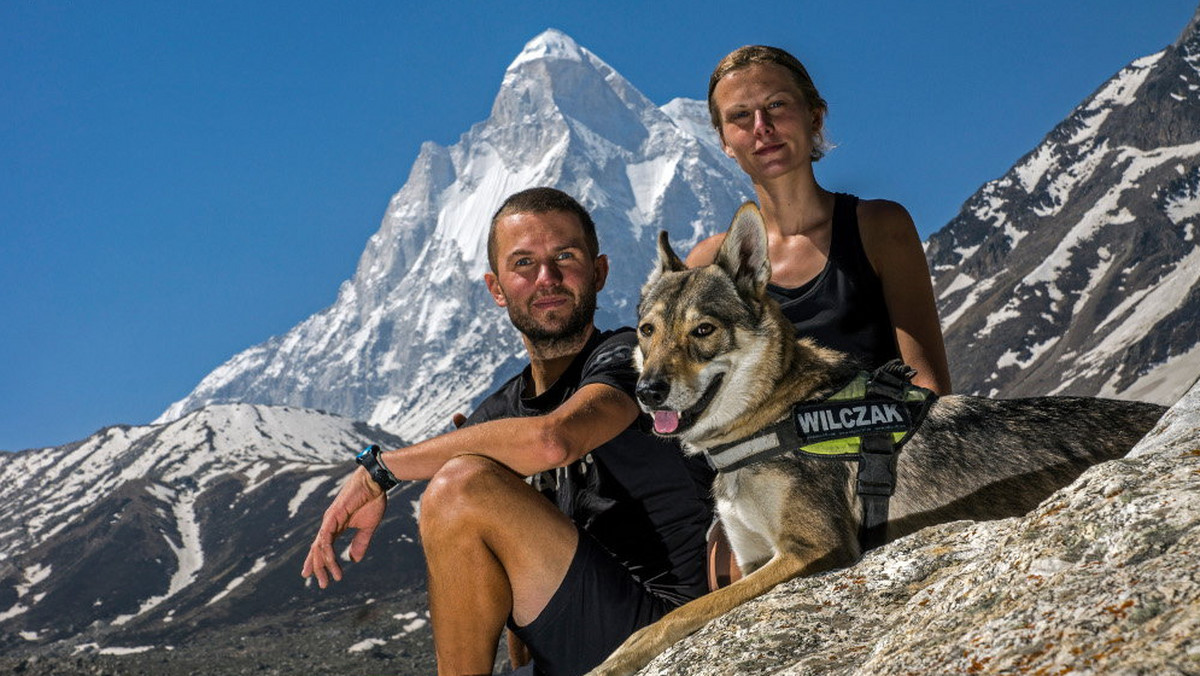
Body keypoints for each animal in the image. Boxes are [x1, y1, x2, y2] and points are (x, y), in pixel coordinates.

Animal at [585, 202, 1166, 676]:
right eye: (647, 332)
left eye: (703, 330)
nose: (647, 392)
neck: (770, 419)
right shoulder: (749, 558)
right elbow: (691, 609)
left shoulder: (813, 548)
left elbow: (672, 618)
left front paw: (612, 660)